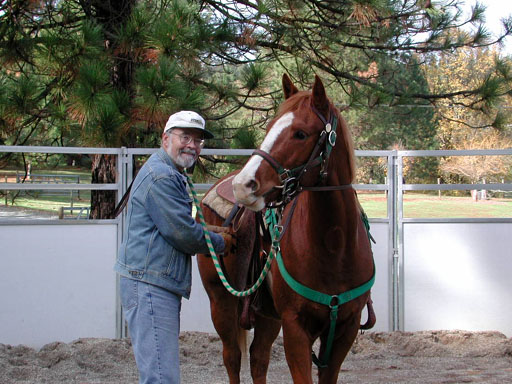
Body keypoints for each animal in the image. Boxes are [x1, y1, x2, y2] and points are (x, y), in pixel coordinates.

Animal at [198, 73, 374, 382]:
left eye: (300, 134)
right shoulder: (295, 330)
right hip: (220, 302)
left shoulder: (345, 331)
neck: (335, 246)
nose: (243, 185)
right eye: (269, 128)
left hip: (267, 315)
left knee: (258, 358)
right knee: (232, 357)